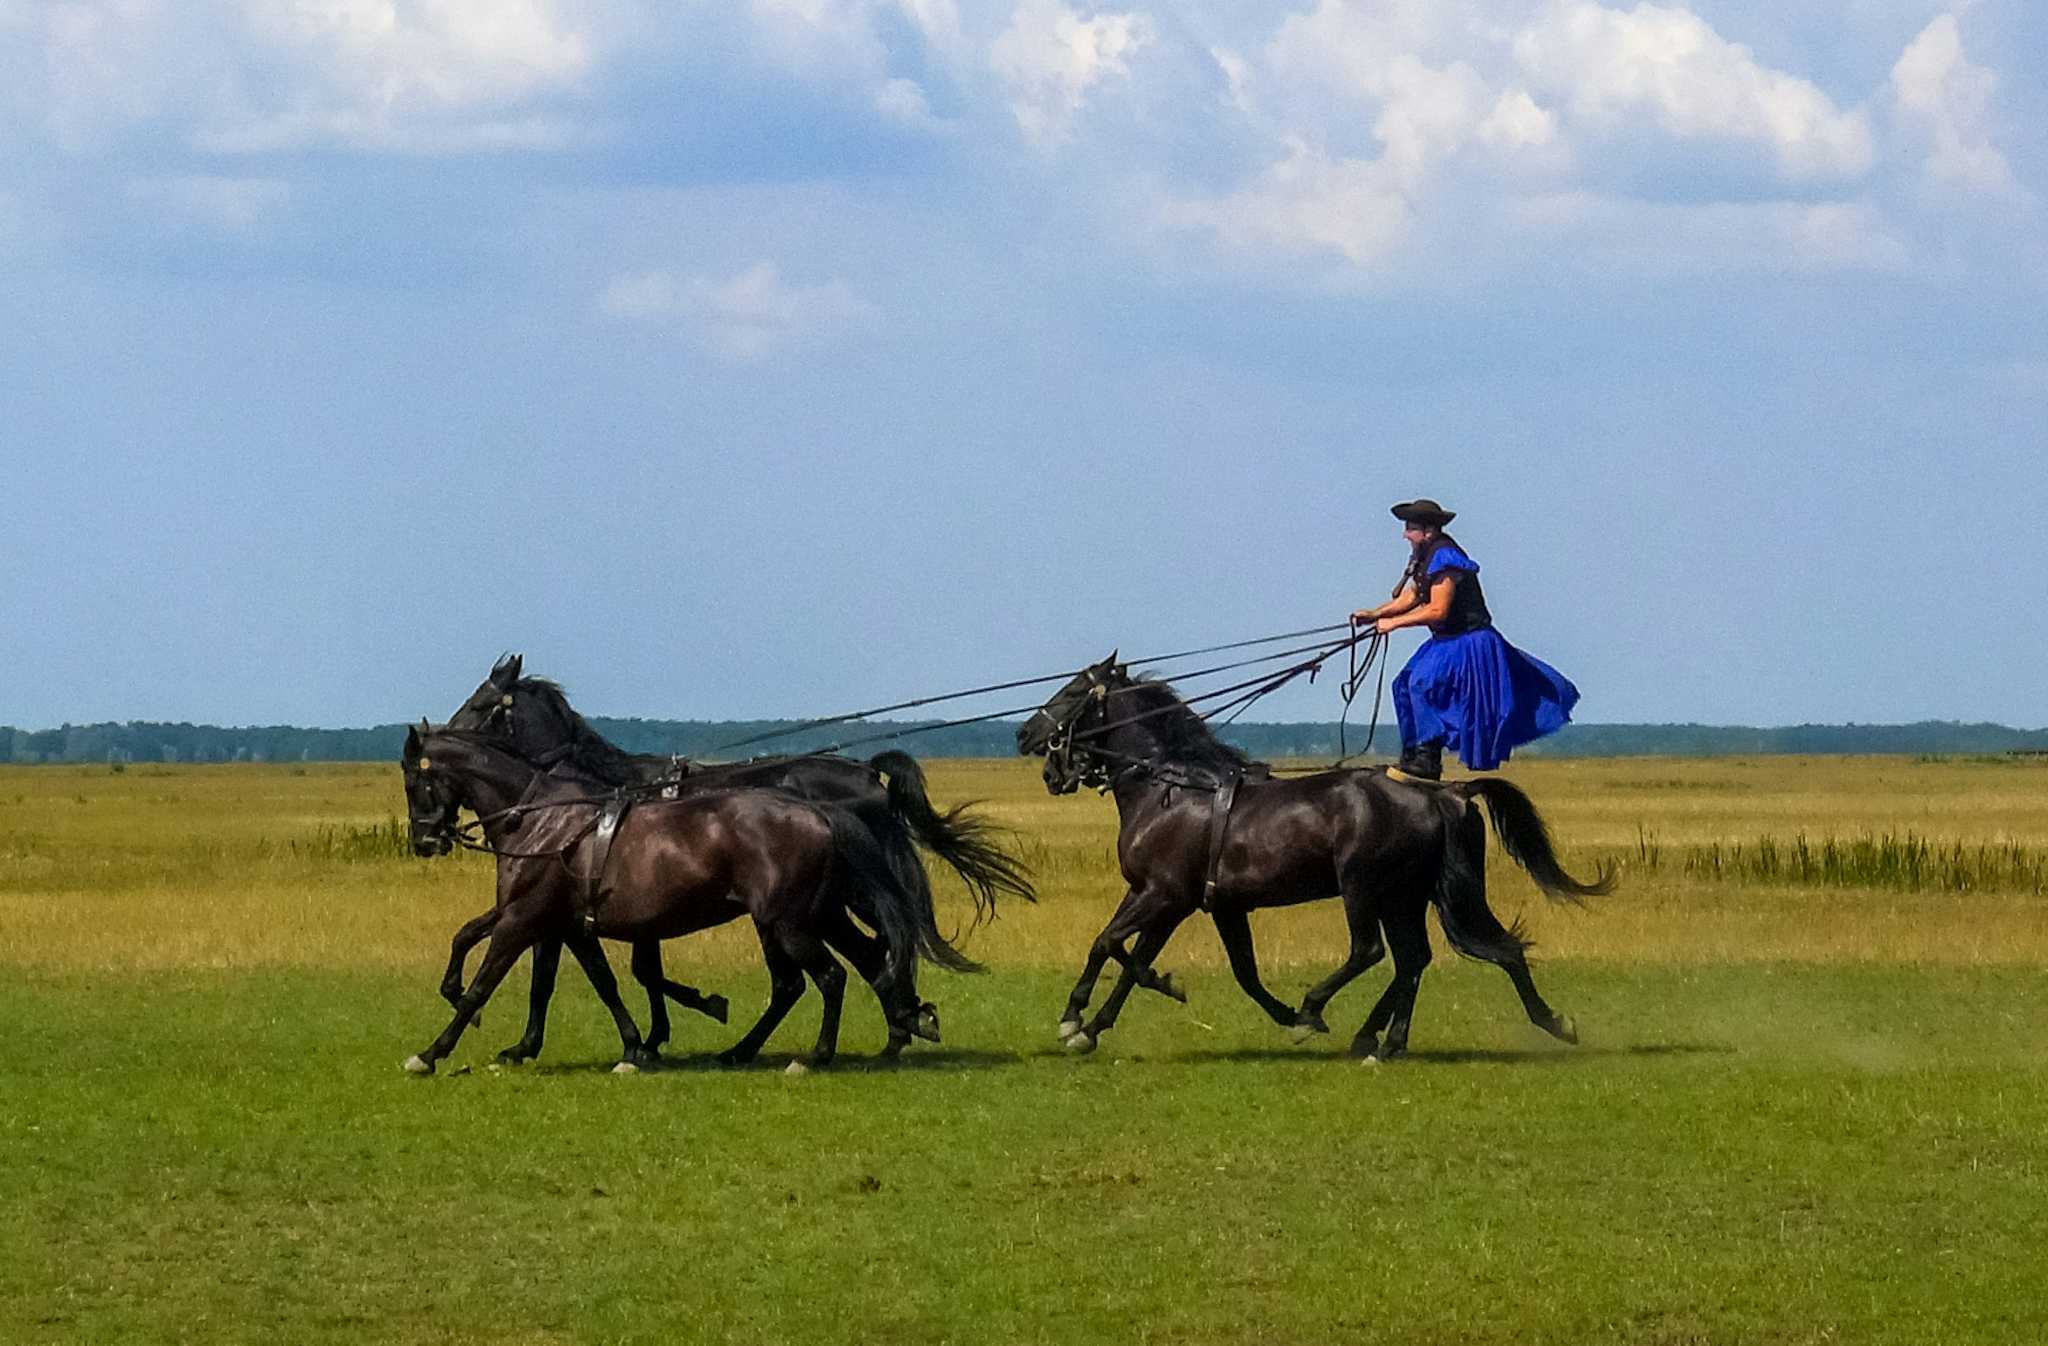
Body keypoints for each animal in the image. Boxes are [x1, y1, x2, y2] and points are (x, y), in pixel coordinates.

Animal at [399, 721, 950, 1073]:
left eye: (411, 780)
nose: (425, 841)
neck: (545, 821)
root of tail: (819, 812)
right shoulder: (564, 924)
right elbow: (591, 982)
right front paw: (631, 1047)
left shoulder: (522, 918)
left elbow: (483, 985)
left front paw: (430, 1053)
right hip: (815, 915)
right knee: (852, 965)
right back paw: (895, 1026)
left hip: (790, 923)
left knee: (828, 977)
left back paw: (815, 1055)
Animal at [438, 655, 1032, 1057]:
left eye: (480, 704)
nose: (440, 734)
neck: (593, 794)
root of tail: (867, 774)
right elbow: (577, 970)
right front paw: (538, 1043)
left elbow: (617, 970)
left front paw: (675, 1022)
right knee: (876, 950)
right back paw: (899, 1024)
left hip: (831, 901)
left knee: (877, 948)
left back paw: (897, 1024)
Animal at [1015, 655, 1605, 1057]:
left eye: (1071, 692)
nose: (1025, 734)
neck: (1173, 789)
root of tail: (1445, 793)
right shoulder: (1200, 903)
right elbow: (1215, 968)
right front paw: (1096, 1023)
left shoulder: (1163, 894)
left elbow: (1110, 944)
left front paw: (1081, 1016)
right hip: (1406, 896)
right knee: (1434, 957)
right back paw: (1392, 1039)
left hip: (1364, 887)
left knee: (1374, 952)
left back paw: (1323, 1011)